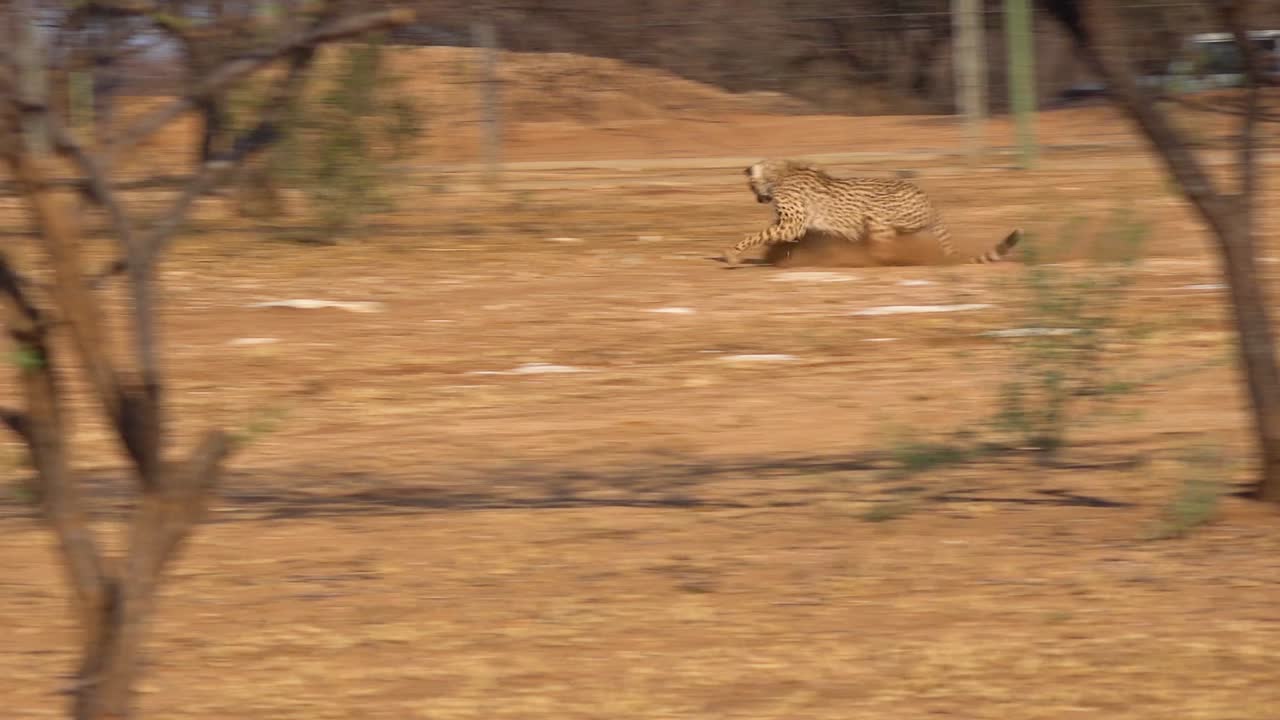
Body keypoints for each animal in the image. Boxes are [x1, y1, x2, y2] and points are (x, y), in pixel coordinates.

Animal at [722, 159, 1021, 267]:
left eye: (750, 185)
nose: (758, 197)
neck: (780, 174)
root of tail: (930, 202)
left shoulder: (792, 225)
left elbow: (756, 236)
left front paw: (732, 254)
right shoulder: (794, 227)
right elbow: (779, 239)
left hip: (877, 217)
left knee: (884, 249)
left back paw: (873, 259)